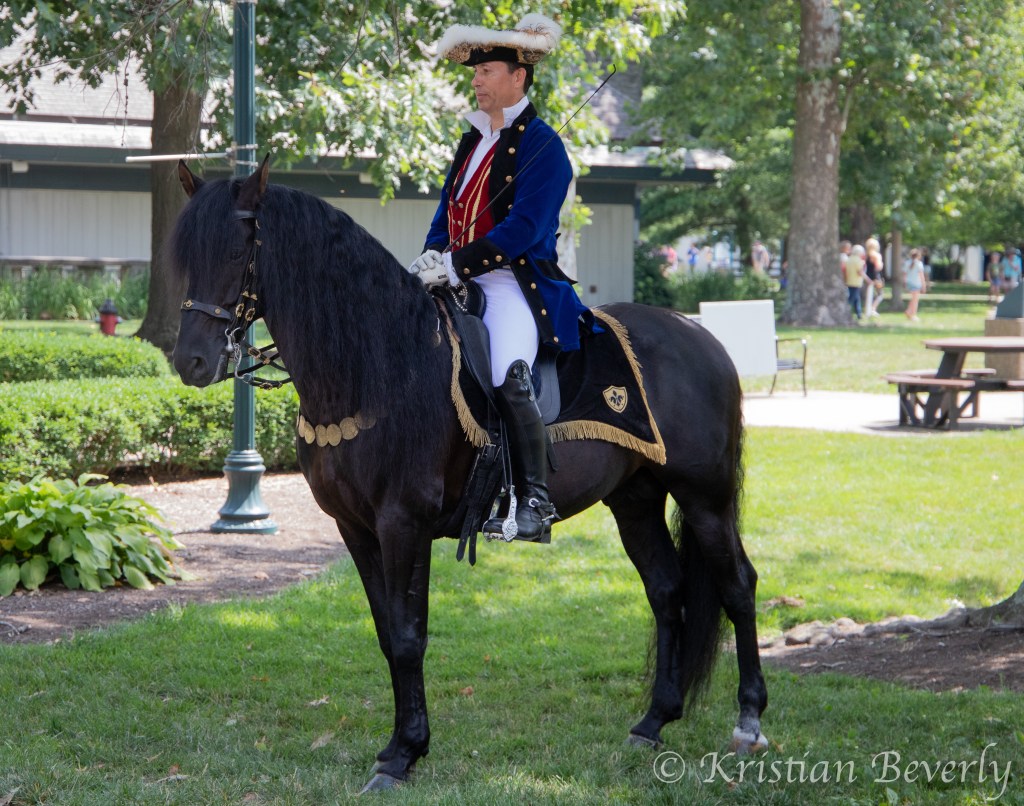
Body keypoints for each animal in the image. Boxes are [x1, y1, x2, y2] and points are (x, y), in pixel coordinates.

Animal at [169, 157, 768, 793]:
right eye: (186, 258)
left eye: (238, 250)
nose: (190, 361)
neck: (377, 364)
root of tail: (699, 334)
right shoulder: (354, 527)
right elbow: (387, 634)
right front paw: (400, 747)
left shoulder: (403, 523)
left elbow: (410, 636)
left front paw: (403, 754)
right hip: (635, 498)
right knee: (667, 590)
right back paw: (653, 721)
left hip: (705, 496)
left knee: (737, 585)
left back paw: (749, 722)